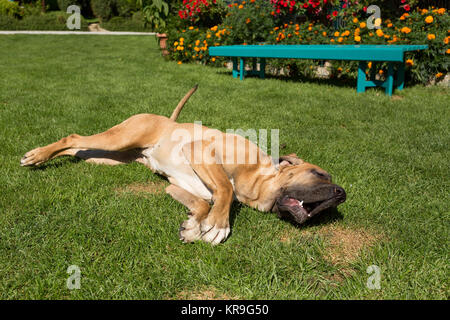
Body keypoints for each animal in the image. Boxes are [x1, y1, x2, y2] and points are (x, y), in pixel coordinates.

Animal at [20, 85, 344, 245]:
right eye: (319, 174)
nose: (342, 193)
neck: (254, 178)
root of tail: (168, 119)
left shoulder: (177, 188)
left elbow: (202, 203)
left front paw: (193, 226)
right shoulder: (200, 151)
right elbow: (224, 187)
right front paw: (218, 225)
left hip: (105, 156)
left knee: (76, 147)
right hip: (119, 139)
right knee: (73, 137)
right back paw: (36, 156)